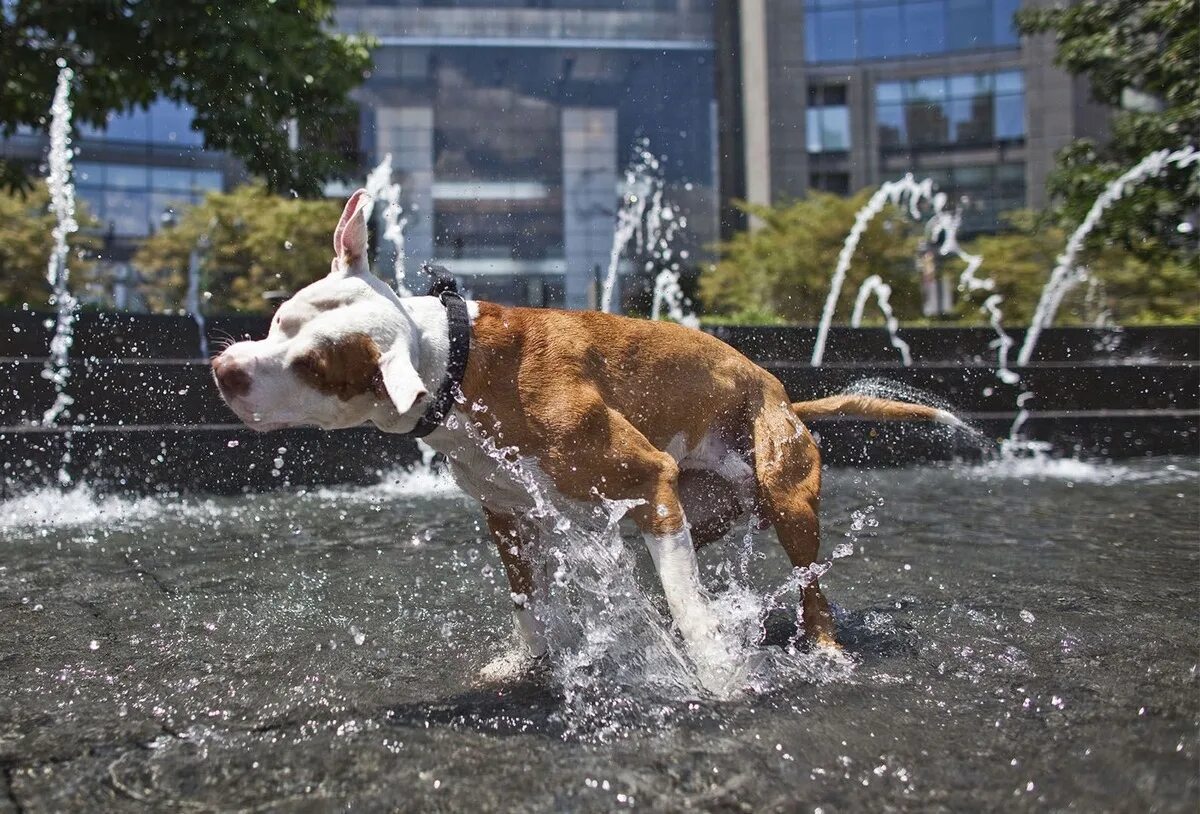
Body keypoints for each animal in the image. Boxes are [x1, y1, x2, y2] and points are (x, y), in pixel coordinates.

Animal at [213, 190, 964, 662]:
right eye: (279, 319)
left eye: (314, 367)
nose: (223, 368)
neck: (458, 362)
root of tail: (782, 392)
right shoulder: (511, 515)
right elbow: (531, 606)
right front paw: (529, 664)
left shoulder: (644, 476)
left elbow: (692, 612)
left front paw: (719, 678)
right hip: (690, 510)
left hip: (782, 495)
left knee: (808, 584)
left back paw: (826, 648)